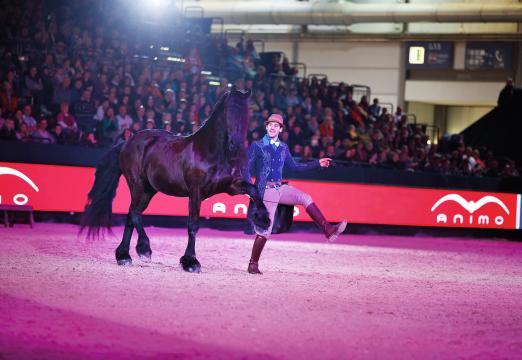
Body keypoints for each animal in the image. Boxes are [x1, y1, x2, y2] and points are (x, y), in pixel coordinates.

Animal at [82, 89, 268, 272]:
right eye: (228, 112)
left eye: (246, 114)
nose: (235, 144)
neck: (210, 152)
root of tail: (127, 142)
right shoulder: (195, 192)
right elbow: (193, 225)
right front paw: (190, 262)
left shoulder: (230, 186)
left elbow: (253, 189)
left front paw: (263, 222)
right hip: (137, 185)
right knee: (134, 214)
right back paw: (143, 249)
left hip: (148, 190)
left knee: (131, 215)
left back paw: (124, 256)